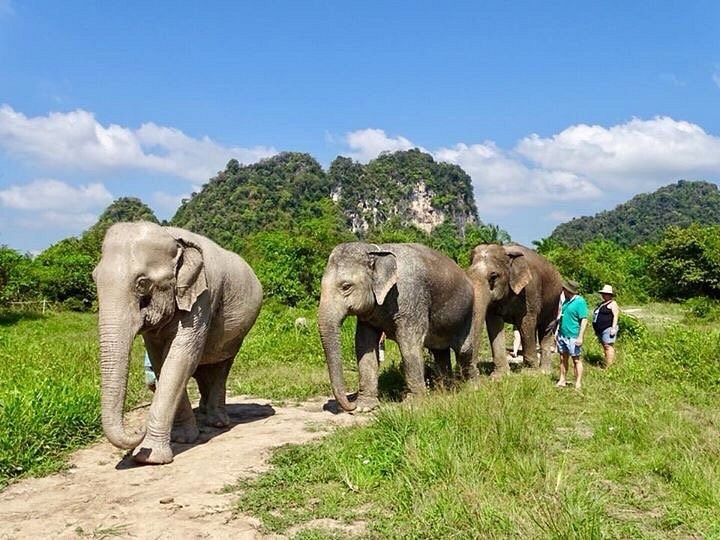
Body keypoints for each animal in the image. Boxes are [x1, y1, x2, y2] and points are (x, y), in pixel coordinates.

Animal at [92, 221, 263, 464]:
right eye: (94, 279)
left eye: (142, 283)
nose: (138, 430)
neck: (171, 237)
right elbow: (160, 361)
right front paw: (182, 438)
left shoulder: (203, 297)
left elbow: (179, 358)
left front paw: (149, 457)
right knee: (204, 369)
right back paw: (203, 413)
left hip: (237, 335)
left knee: (221, 366)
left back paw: (218, 422)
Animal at [318, 242, 478, 413]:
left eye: (346, 286)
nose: (350, 404)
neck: (377, 251)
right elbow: (364, 344)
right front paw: (363, 406)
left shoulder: (411, 298)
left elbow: (408, 343)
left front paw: (412, 405)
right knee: (440, 352)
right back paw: (444, 390)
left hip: (469, 313)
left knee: (464, 349)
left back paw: (470, 388)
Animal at [468, 243, 562, 376]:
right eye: (468, 274)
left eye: (493, 276)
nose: (476, 373)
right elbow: (494, 324)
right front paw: (500, 376)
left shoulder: (530, 290)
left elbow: (526, 322)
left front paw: (530, 372)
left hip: (554, 301)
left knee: (545, 329)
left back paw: (544, 371)